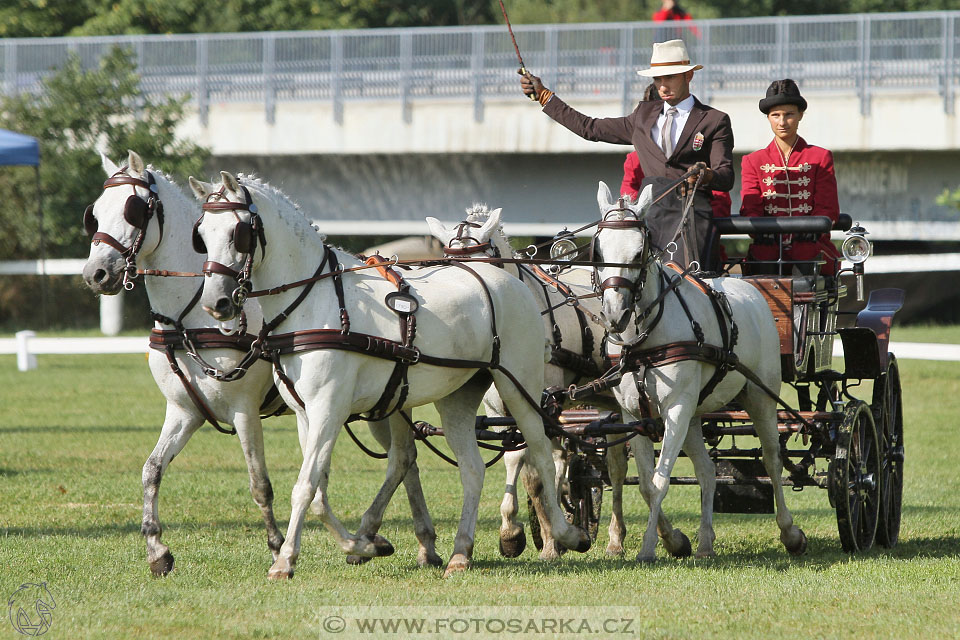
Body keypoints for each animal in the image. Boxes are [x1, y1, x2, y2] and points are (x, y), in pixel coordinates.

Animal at [82, 151, 442, 576]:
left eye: (133, 210)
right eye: (95, 214)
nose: (95, 274)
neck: (189, 316)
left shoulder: (244, 410)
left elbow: (260, 484)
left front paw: (276, 547)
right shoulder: (185, 410)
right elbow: (151, 471)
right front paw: (157, 550)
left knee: (402, 460)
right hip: (386, 405)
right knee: (408, 462)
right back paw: (419, 544)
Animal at [190, 171, 588, 580]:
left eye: (238, 232)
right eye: (201, 234)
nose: (216, 303)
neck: (314, 302)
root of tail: (510, 281)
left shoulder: (329, 410)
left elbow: (305, 487)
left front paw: (287, 560)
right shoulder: (306, 413)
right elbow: (318, 490)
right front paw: (362, 544)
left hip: (518, 385)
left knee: (539, 450)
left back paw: (565, 534)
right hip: (457, 397)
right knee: (473, 468)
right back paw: (461, 553)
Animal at [428, 206, 704, 560]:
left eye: (486, 264)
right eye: (450, 265)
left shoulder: (541, 402)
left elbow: (538, 469)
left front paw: (550, 540)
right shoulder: (498, 406)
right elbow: (517, 461)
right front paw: (513, 532)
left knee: (615, 468)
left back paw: (623, 537)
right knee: (597, 461)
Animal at [592, 180, 804, 560]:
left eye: (638, 253)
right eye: (599, 251)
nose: (615, 315)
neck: (643, 342)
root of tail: (748, 285)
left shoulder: (675, 408)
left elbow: (659, 481)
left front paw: (649, 547)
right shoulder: (635, 415)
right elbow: (646, 484)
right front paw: (672, 540)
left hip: (759, 397)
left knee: (772, 460)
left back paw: (789, 532)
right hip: (693, 413)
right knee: (706, 470)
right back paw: (706, 541)